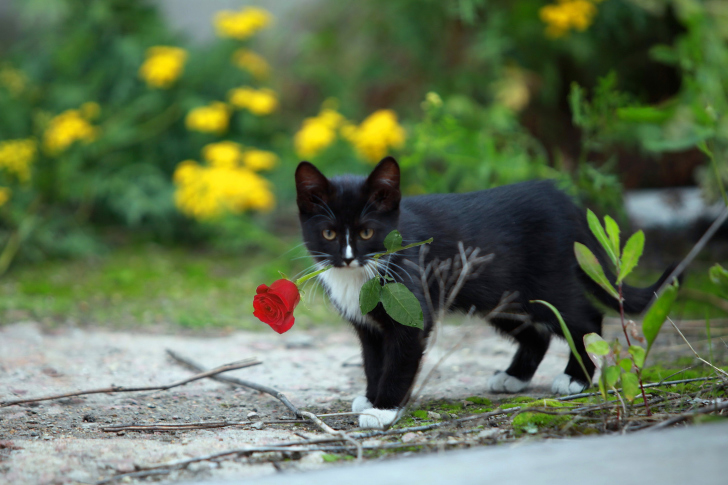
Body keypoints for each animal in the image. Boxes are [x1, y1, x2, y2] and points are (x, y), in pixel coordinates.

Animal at [294, 157, 672, 430]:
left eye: (367, 232)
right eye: (328, 233)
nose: (346, 258)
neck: (360, 276)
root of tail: (561, 198)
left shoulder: (412, 313)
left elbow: (398, 362)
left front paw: (383, 409)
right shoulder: (369, 326)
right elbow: (374, 362)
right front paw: (371, 398)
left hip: (548, 283)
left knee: (585, 318)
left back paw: (574, 378)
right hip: (501, 296)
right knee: (536, 334)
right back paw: (514, 377)